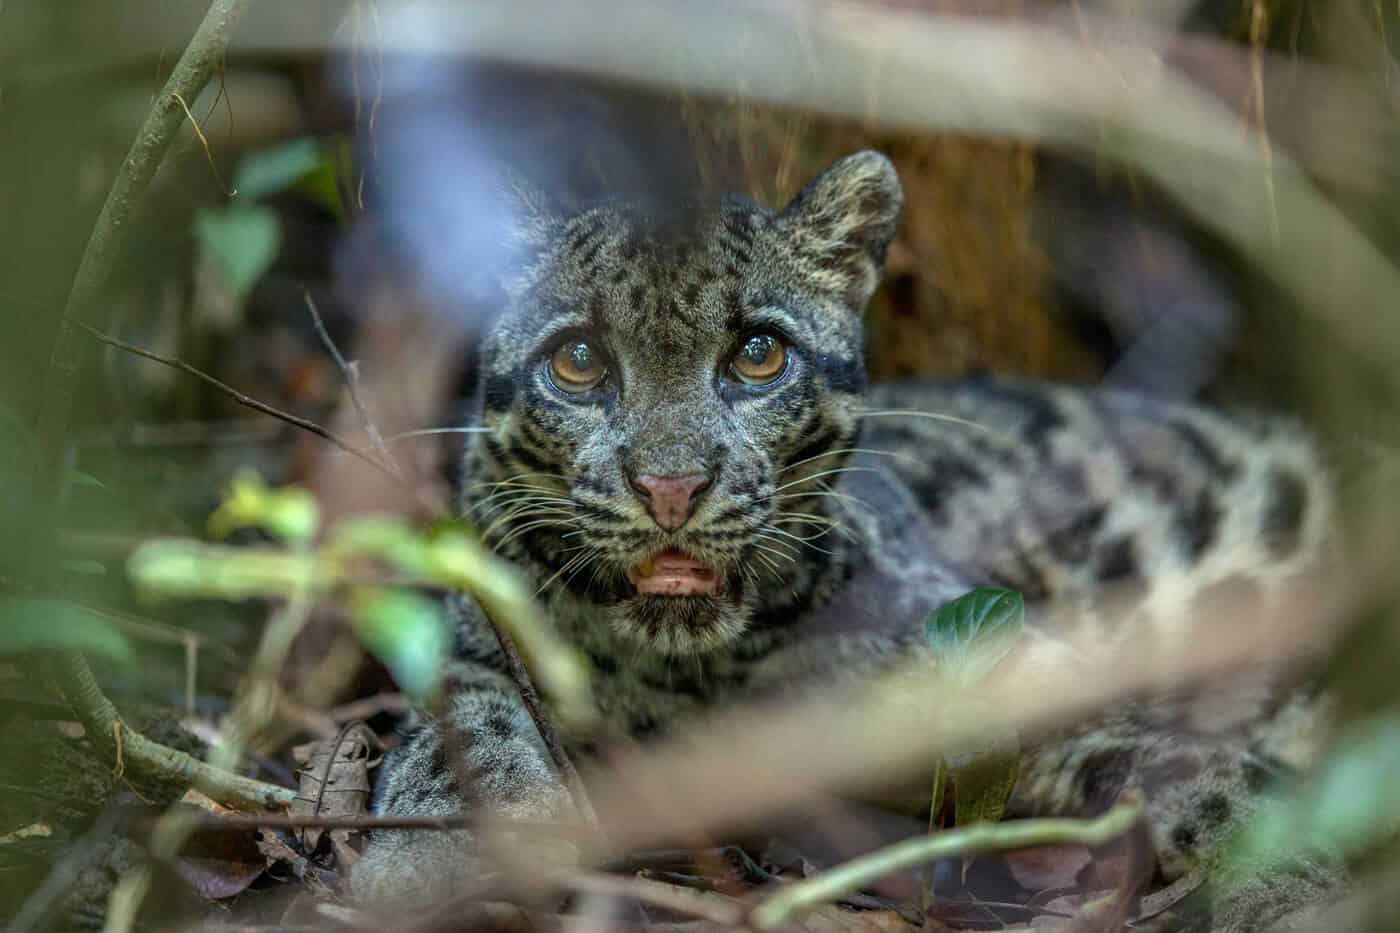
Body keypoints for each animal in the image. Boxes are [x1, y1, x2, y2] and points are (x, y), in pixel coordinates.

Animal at [352, 150, 1344, 930]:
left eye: (758, 353)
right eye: (580, 360)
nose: (672, 486)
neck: (697, 676)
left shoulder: (1032, 671)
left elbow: (1208, 769)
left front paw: (1297, 885)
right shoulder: (480, 631)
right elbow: (458, 726)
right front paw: (427, 866)